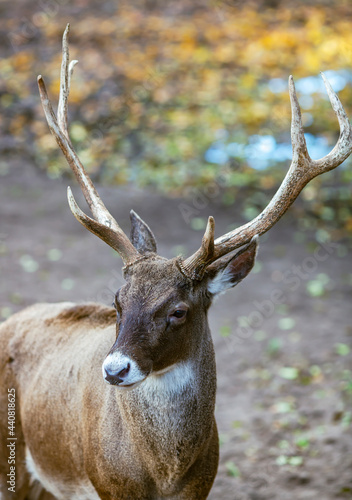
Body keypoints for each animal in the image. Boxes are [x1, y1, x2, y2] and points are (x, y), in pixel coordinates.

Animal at [0, 24, 352, 500]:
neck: (163, 476)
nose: (114, 369)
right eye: (116, 302)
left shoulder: (201, 485)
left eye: (178, 310)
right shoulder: (108, 485)